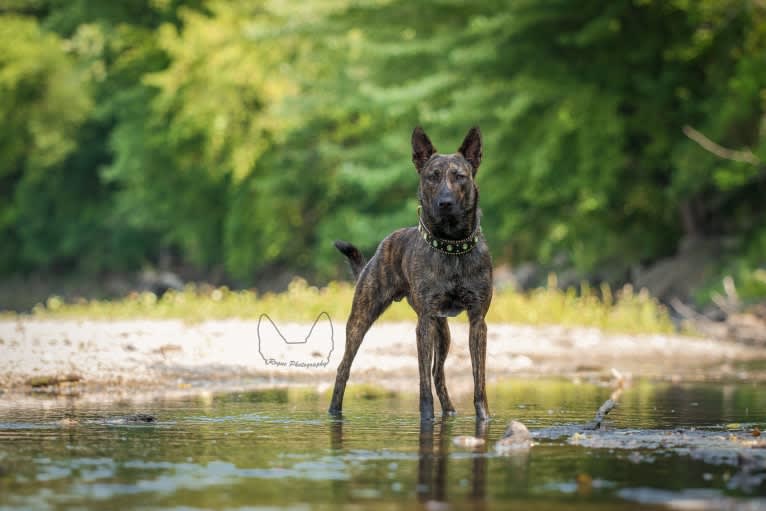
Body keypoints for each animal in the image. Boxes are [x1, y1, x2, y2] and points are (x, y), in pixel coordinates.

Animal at [328, 125, 496, 420]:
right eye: (432, 177)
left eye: (459, 177)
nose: (445, 203)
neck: (452, 246)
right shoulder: (424, 323)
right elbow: (422, 382)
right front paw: (426, 418)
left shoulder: (477, 322)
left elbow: (479, 379)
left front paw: (483, 418)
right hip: (361, 319)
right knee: (343, 368)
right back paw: (334, 412)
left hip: (443, 332)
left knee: (438, 373)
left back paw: (450, 412)